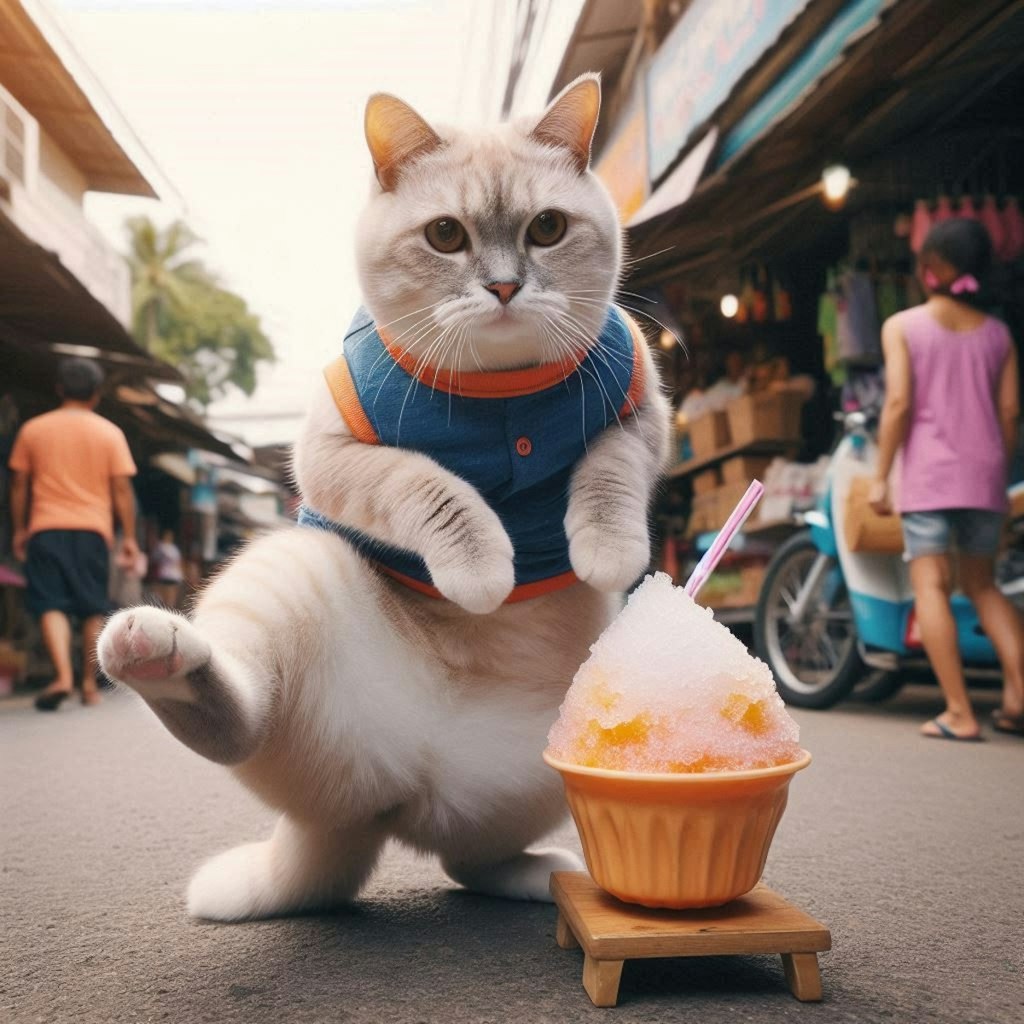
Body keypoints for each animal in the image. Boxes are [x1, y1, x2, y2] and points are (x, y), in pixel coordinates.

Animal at [94, 72, 671, 921]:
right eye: (446, 236)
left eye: (547, 229)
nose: (505, 285)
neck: (504, 396)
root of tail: (390, 806)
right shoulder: (331, 457)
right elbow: (430, 487)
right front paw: (483, 571)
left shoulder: (643, 406)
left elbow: (607, 472)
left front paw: (605, 550)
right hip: (291, 569)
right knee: (235, 722)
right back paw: (154, 651)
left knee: (471, 861)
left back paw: (548, 874)